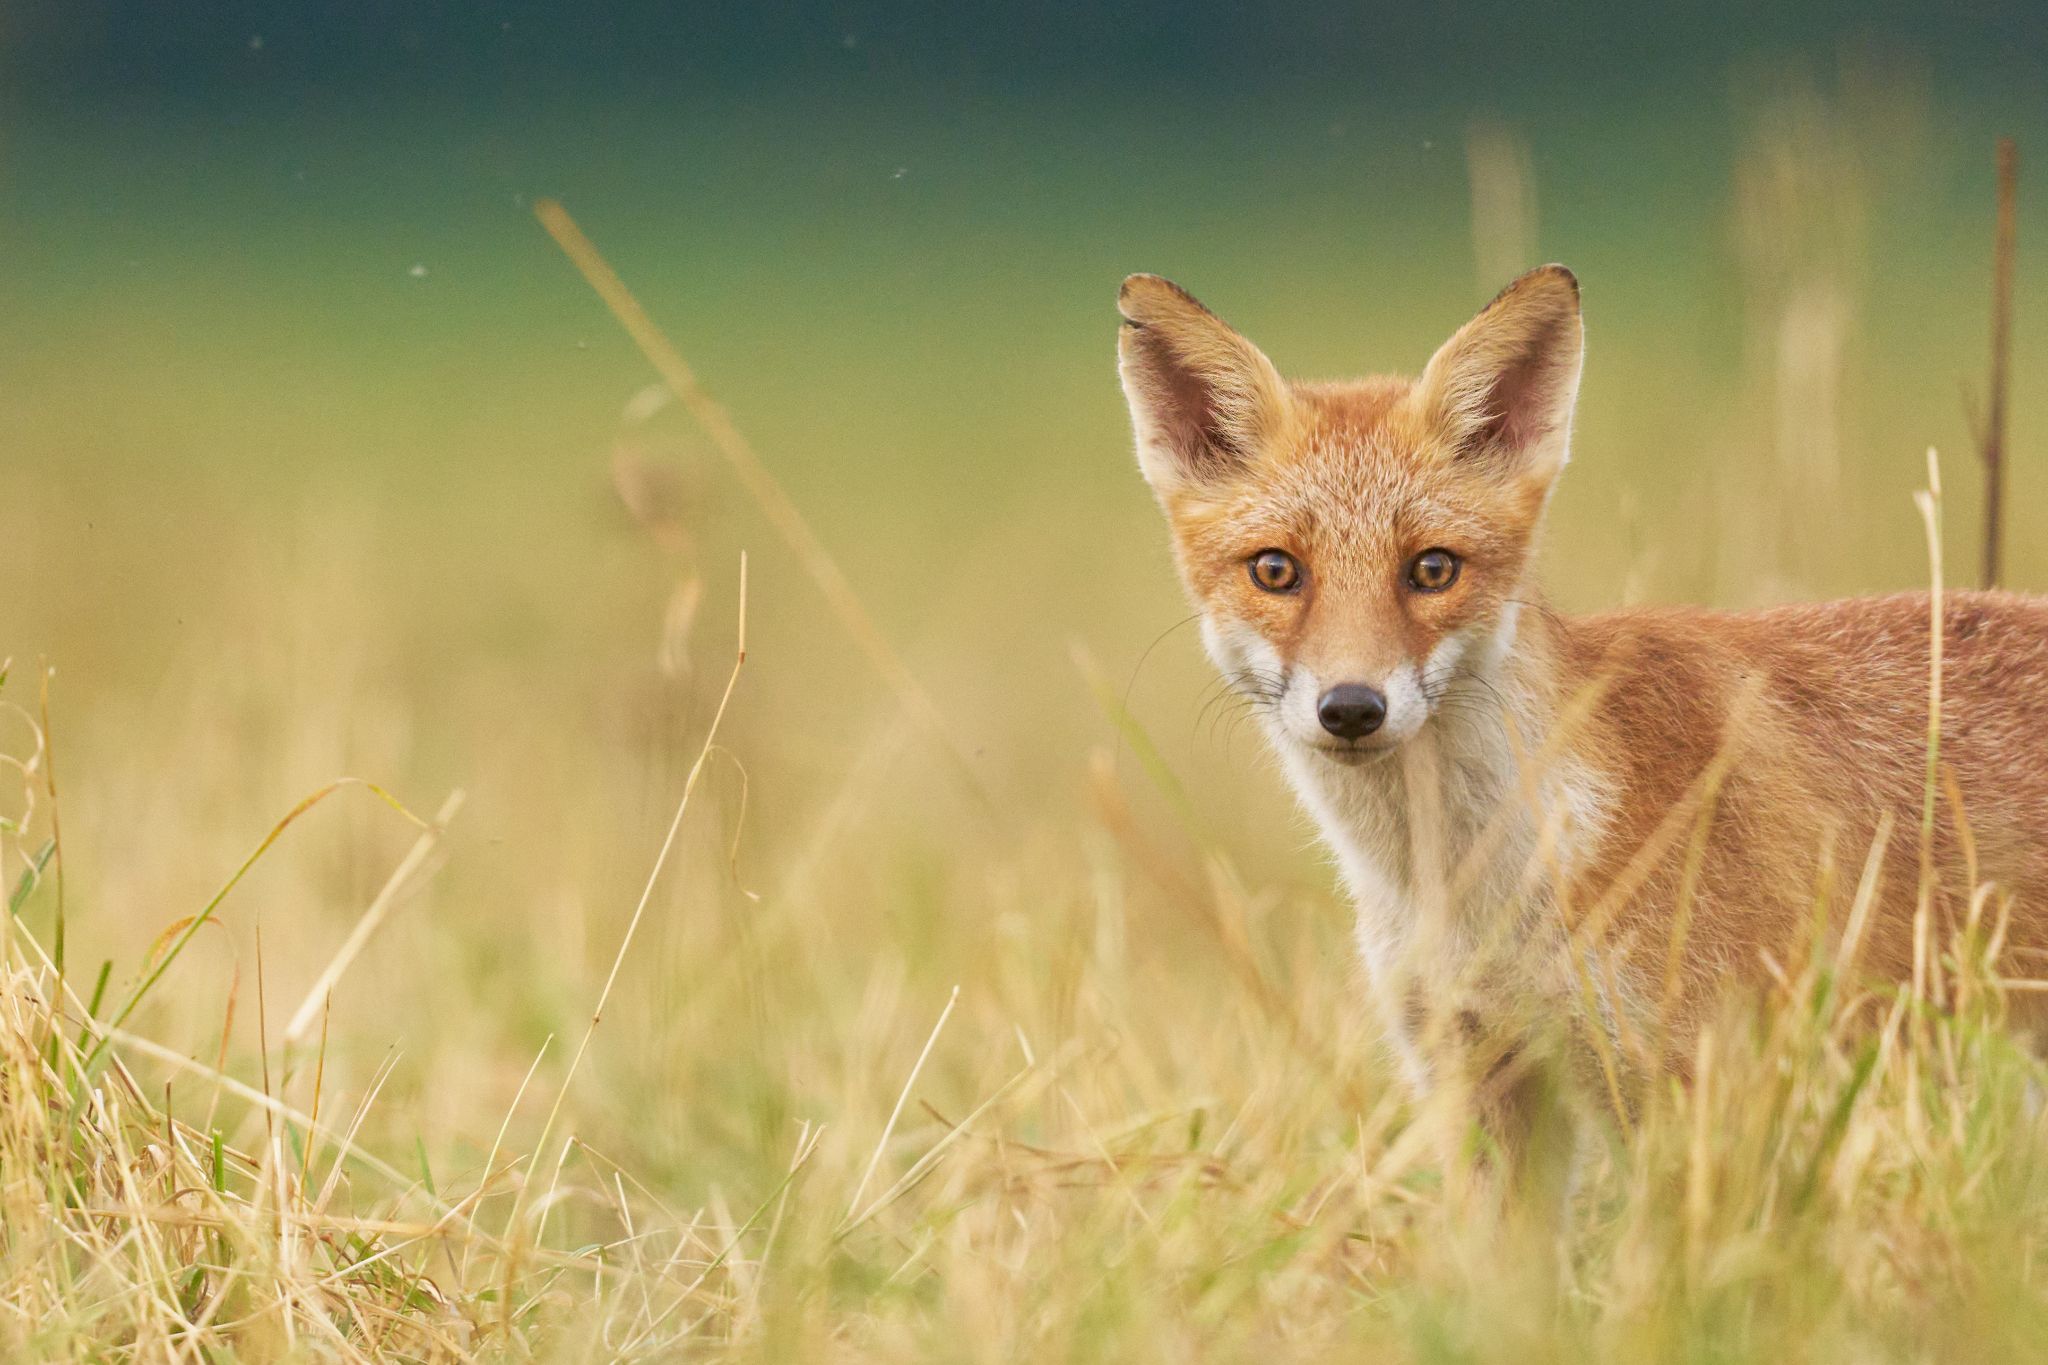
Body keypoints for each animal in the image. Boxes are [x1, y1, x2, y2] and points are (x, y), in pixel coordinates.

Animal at [1116, 263, 2048, 1166]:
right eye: (1276, 570)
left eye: (1432, 569)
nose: (1351, 707)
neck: (1474, 889)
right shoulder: (1481, 1082)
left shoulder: (1699, 1090)